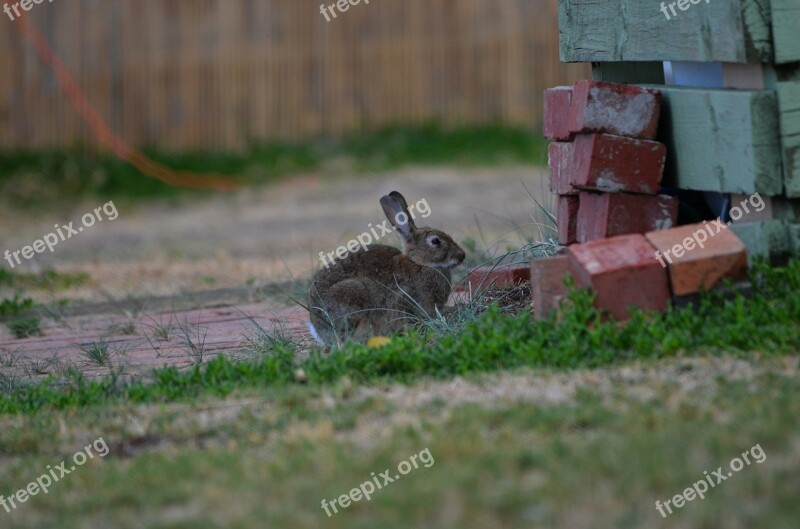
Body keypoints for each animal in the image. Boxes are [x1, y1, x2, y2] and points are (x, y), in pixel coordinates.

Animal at [308, 190, 468, 346]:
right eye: (435, 241)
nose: (462, 255)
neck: (421, 264)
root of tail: (318, 328)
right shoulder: (405, 299)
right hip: (352, 295)